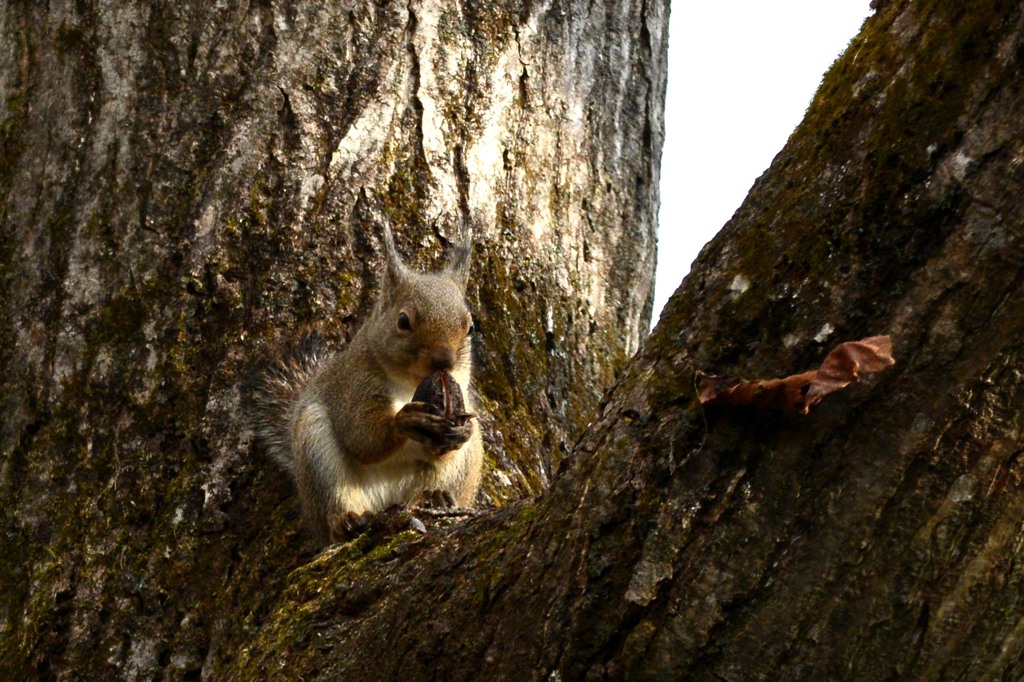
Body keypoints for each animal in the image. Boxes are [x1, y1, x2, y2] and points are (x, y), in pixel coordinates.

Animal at [253, 225, 481, 544]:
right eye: (403, 321)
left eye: (471, 327)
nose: (444, 361)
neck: (410, 384)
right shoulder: (355, 385)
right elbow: (362, 436)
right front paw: (407, 420)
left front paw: (463, 430)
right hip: (315, 448)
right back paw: (344, 522)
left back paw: (434, 497)